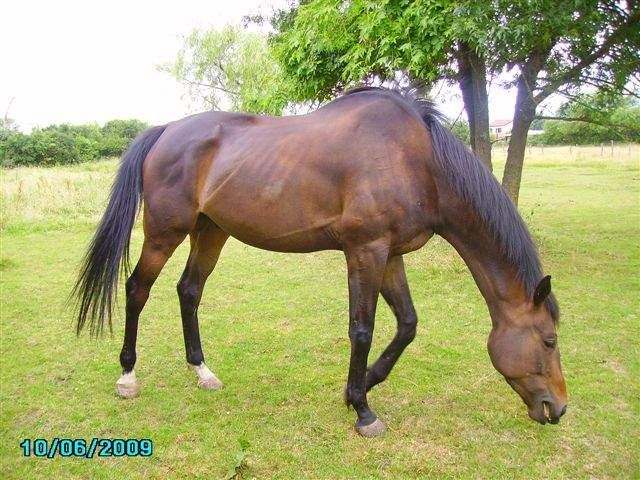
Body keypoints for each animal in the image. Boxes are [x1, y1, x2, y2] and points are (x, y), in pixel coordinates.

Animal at [73, 87, 567, 437]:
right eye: (548, 341)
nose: (557, 408)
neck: (418, 160)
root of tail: (166, 129)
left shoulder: (390, 254)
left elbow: (407, 324)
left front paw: (362, 386)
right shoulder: (366, 251)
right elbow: (362, 329)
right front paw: (364, 411)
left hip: (210, 231)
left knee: (189, 290)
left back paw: (203, 371)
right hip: (165, 231)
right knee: (137, 289)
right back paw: (128, 376)